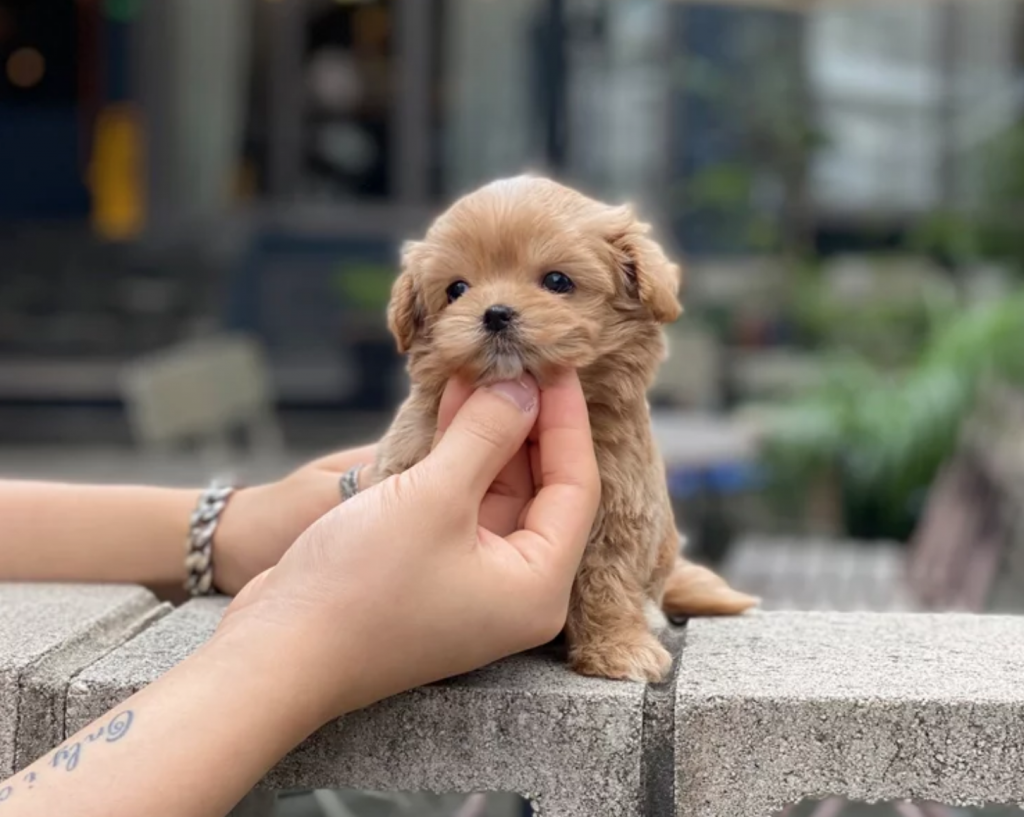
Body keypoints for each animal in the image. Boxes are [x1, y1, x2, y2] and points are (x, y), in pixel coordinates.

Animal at [366, 177, 753, 683]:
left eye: (556, 282)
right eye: (456, 289)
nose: (495, 312)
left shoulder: (620, 507)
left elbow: (608, 581)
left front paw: (618, 648)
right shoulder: (406, 457)